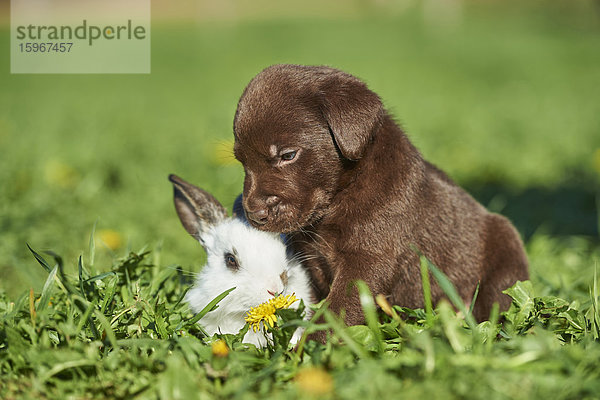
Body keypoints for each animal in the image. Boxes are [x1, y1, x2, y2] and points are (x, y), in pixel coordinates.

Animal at [232, 64, 528, 340]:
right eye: (241, 161)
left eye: (288, 155)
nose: (254, 214)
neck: (342, 193)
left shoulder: (369, 257)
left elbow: (338, 309)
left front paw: (308, 347)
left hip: (505, 253)